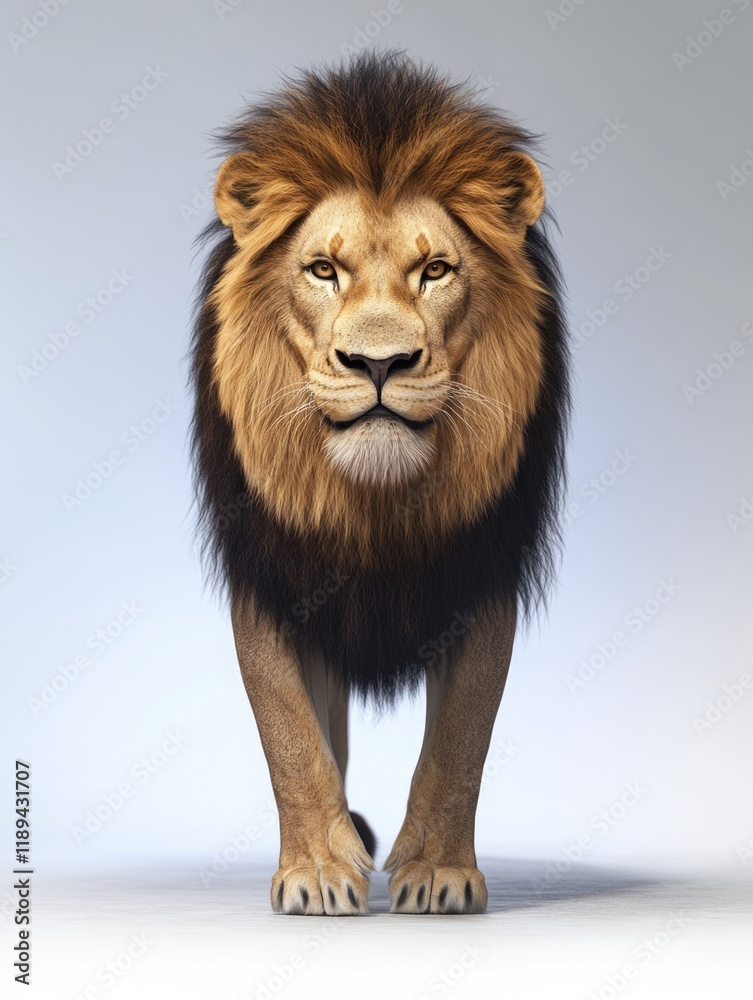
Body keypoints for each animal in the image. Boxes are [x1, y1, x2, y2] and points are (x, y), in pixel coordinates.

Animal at [190, 49, 570, 915]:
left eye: (434, 271)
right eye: (322, 270)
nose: (378, 363)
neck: (374, 509)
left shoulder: (480, 575)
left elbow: (461, 736)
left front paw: (437, 871)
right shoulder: (271, 573)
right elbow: (290, 734)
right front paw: (317, 872)